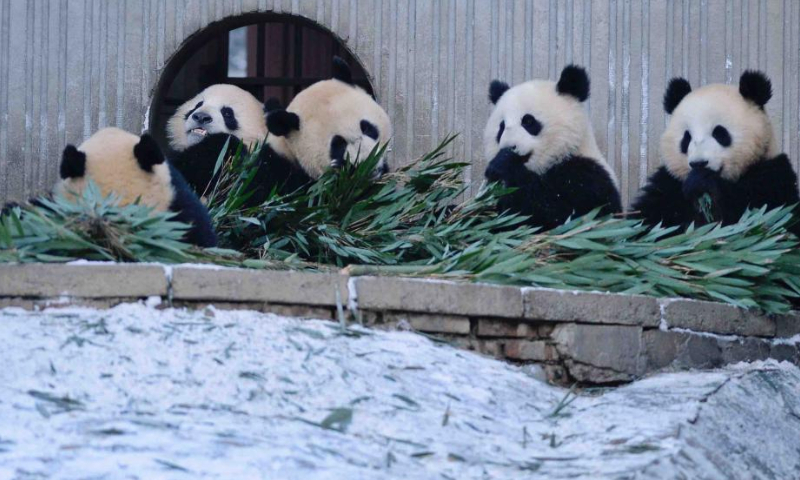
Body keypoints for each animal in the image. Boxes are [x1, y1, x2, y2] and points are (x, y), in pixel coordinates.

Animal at [483, 65, 622, 230]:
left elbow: (558, 213)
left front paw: (503, 164)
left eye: (528, 121)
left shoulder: (588, 176)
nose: (509, 147)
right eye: (502, 127)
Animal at [631, 70, 800, 234]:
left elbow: (758, 211)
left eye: (719, 133)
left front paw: (702, 182)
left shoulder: (773, 175)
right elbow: (646, 220)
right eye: (687, 138)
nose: (699, 163)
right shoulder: (669, 184)